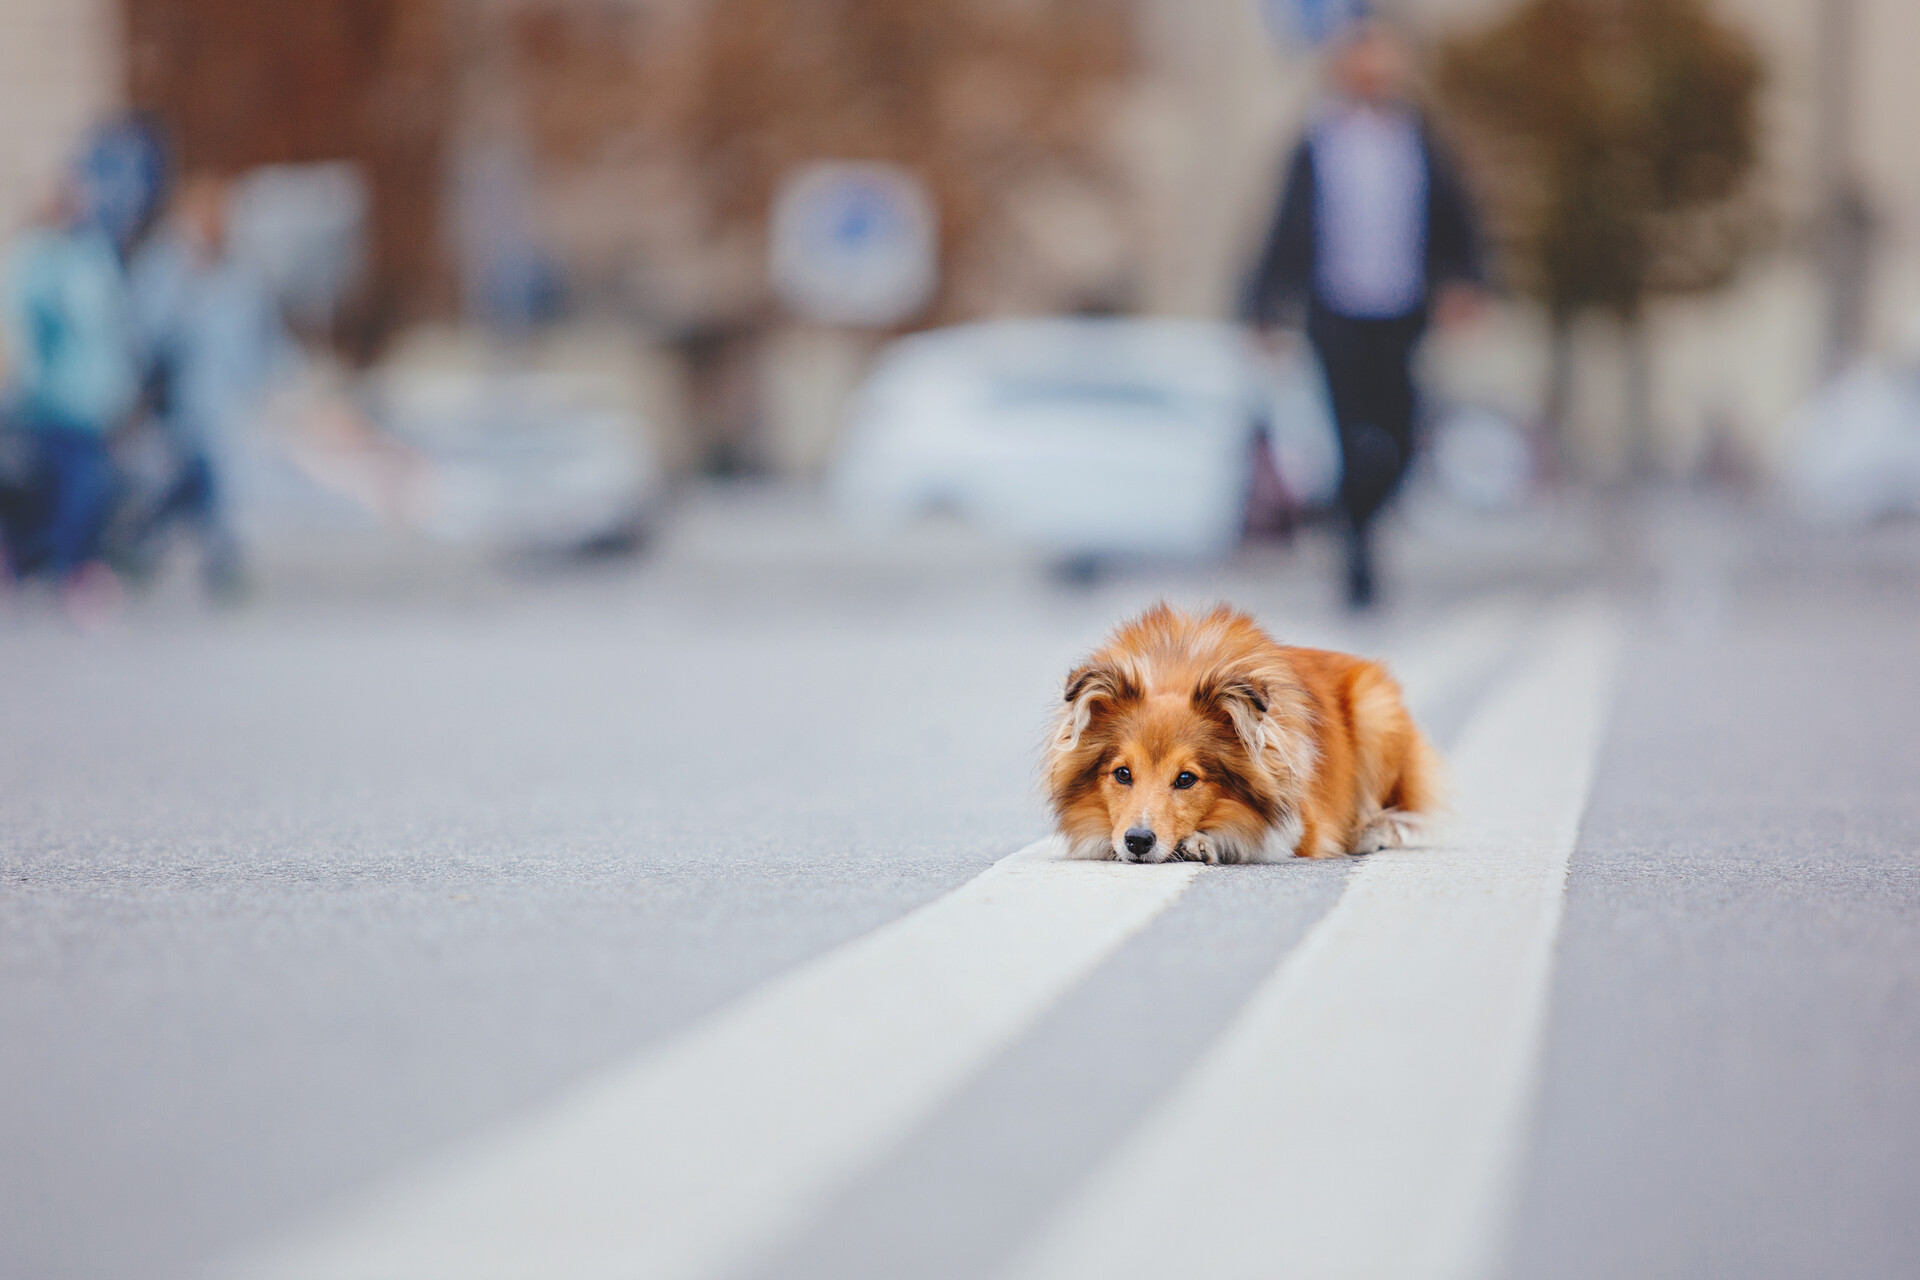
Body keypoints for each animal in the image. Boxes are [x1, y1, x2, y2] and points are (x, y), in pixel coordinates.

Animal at [1052, 606, 1443, 867]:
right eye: (1122, 773)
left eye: (1186, 779)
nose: (1137, 841)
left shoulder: (1303, 824)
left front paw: (1200, 843)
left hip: (1375, 712)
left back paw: (1371, 833)